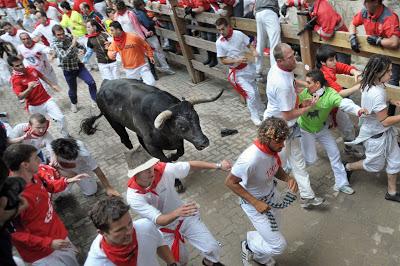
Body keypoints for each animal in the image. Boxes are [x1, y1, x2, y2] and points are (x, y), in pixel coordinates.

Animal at [80, 79, 225, 162]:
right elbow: (165, 161)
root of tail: (104, 84)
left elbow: (180, 152)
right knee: (124, 138)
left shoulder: (178, 140)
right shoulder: (154, 146)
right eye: (181, 126)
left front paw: (172, 156)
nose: (204, 142)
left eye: (197, 118)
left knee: (139, 140)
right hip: (114, 122)